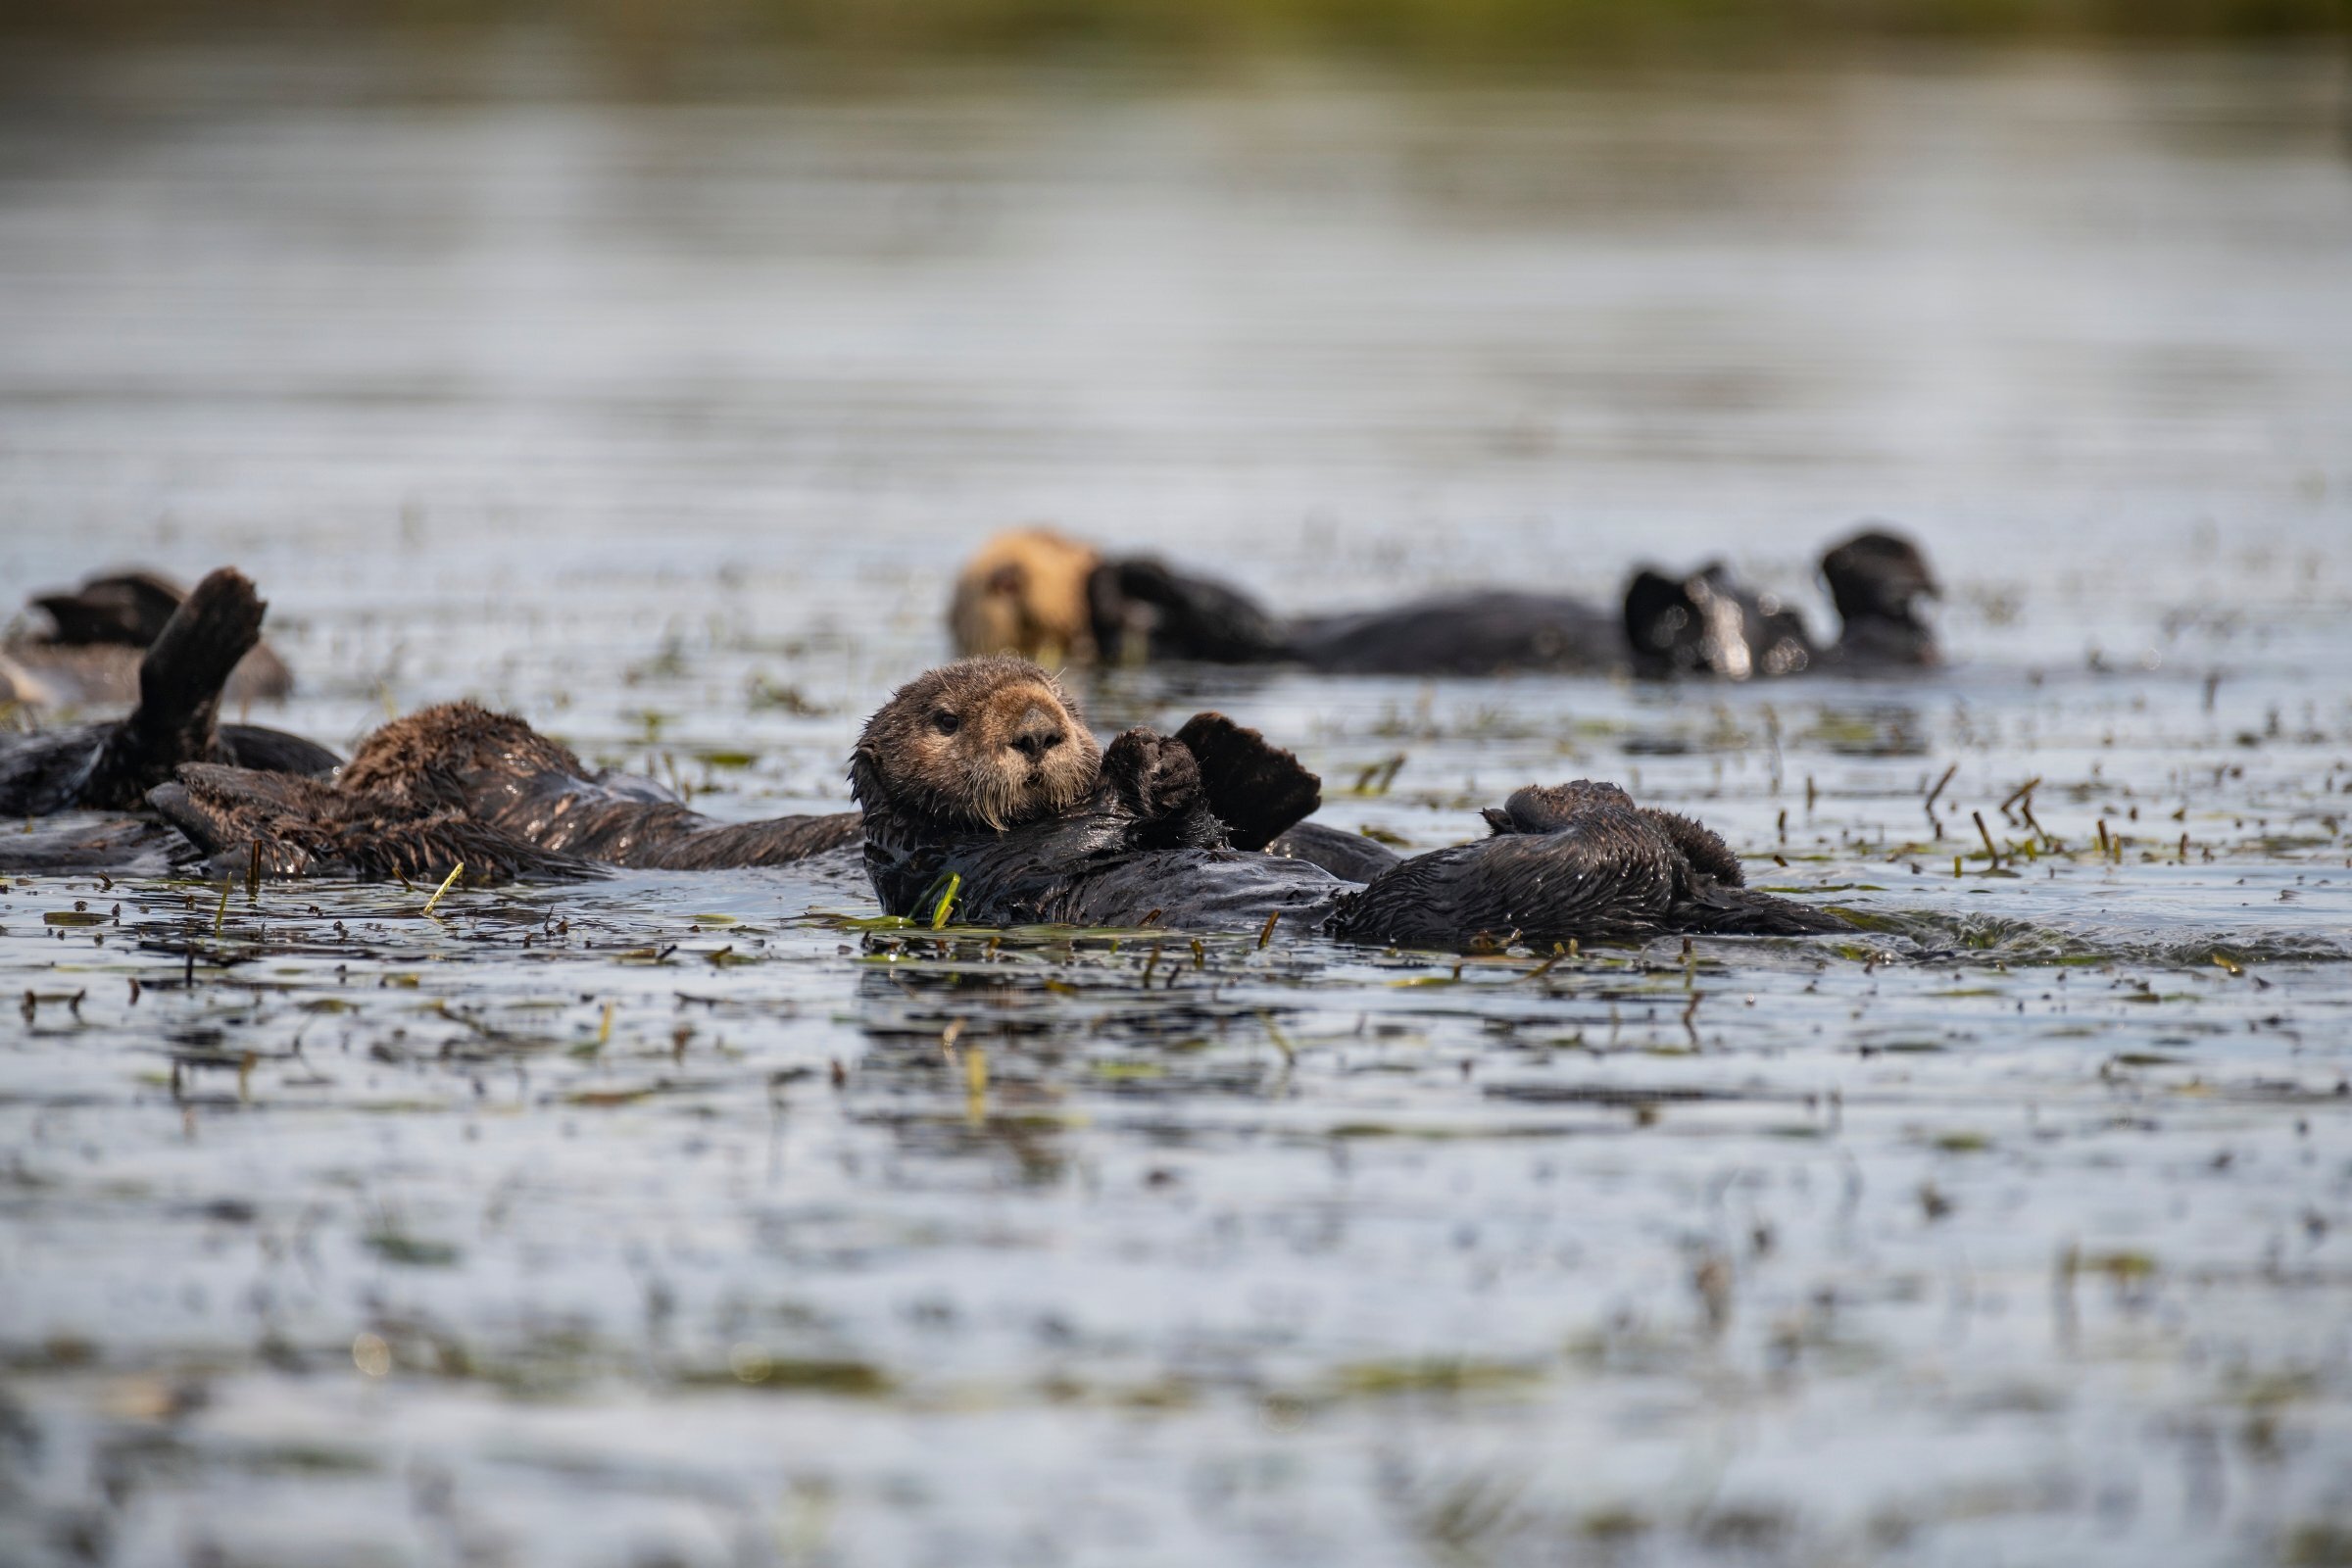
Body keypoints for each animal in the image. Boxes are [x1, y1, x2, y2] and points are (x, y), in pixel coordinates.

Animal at [853, 657, 1847, 950]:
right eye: (947, 720)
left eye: (1061, 698)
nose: (1037, 730)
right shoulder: (977, 868)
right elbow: (1089, 837)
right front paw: (1151, 766)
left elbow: (1194, 827)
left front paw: (1177, 758)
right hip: (1460, 900)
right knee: (1606, 839)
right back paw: (1530, 804)